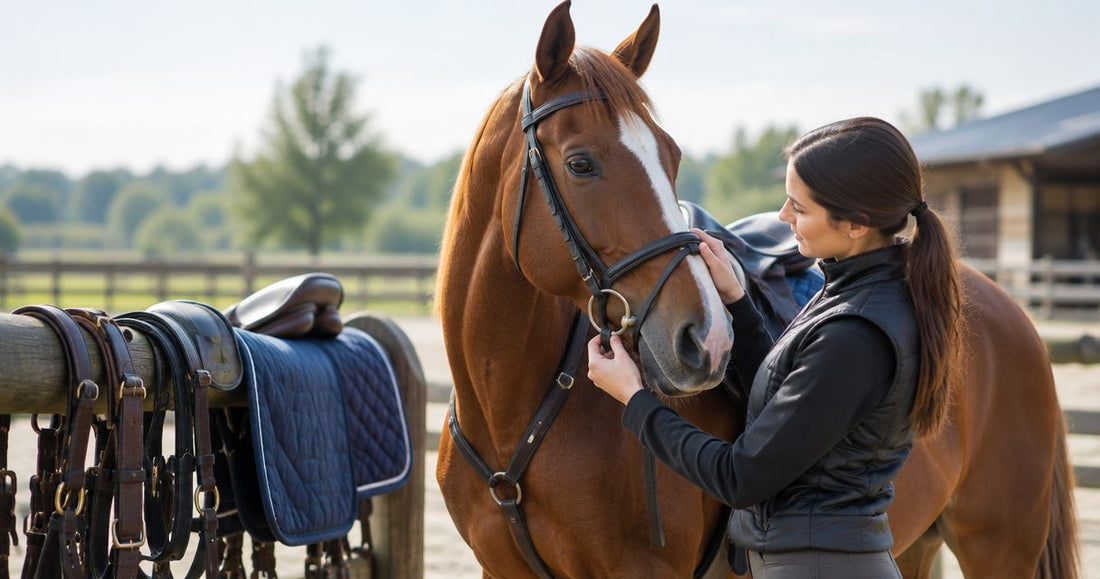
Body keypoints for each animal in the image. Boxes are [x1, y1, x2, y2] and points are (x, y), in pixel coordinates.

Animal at [436, 2, 1079, 578]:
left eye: (671, 155)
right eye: (580, 164)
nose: (707, 340)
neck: (514, 412)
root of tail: (1007, 311)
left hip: (1001, 548)